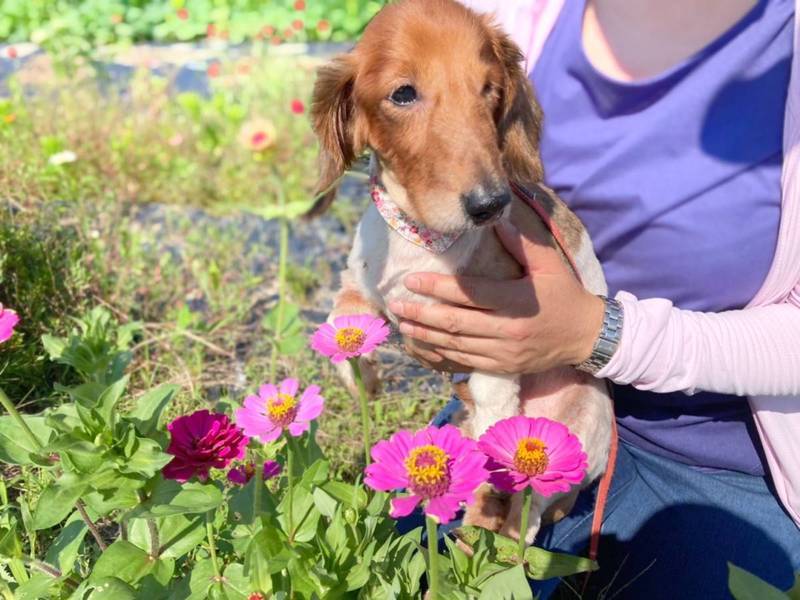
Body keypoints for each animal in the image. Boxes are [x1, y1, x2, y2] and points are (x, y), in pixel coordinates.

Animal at [307, 0, 613, 544]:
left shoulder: (496, 345)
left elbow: (497, 430)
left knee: (529, 510)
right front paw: (365, 380)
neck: (423, 239)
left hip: (581, 422)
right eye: (403, 94)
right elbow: (338, 323)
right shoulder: (361, 286)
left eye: (489, 88)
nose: (491, 204)